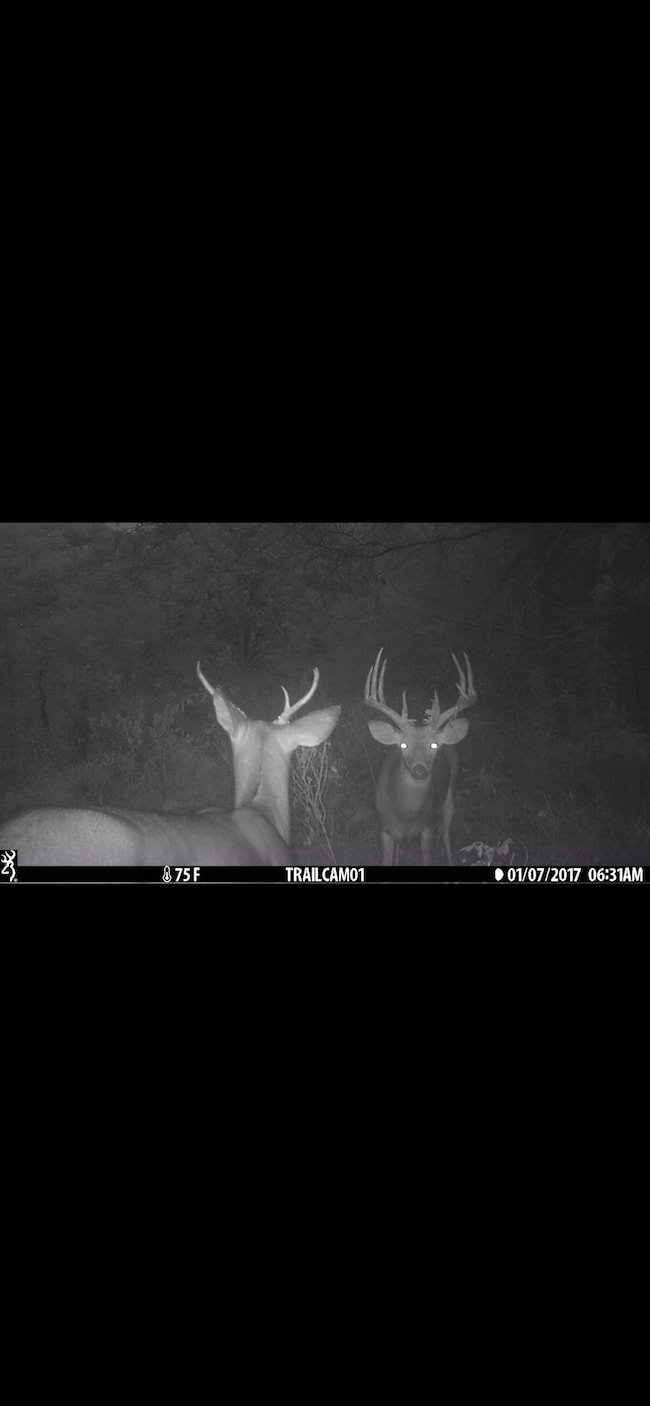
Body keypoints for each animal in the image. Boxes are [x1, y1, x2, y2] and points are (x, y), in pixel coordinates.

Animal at [364, 647, 477, 866]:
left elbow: (428, 858)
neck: (405, 814)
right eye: (403, 744)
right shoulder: (383, 828)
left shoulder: (428, 827)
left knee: (446, 833)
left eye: (434, 745)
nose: (419, 771)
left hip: (450, 795)